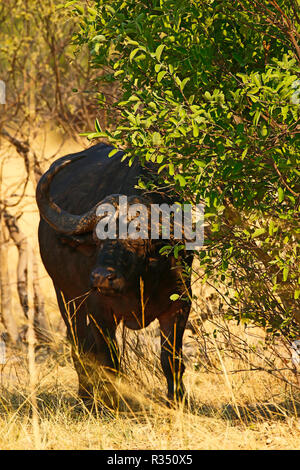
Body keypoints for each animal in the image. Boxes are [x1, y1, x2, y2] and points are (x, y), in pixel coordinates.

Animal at [37, 142, 192, 408]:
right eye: (97, 237)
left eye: (137, 239)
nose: (100, 277)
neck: (140, 279)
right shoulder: (99, 310)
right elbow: (109, 359)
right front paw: (116, 403)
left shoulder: (179, 305)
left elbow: (171, 359)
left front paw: (178, 401)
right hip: (66, 299)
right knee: (80, 346)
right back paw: (87, 398)